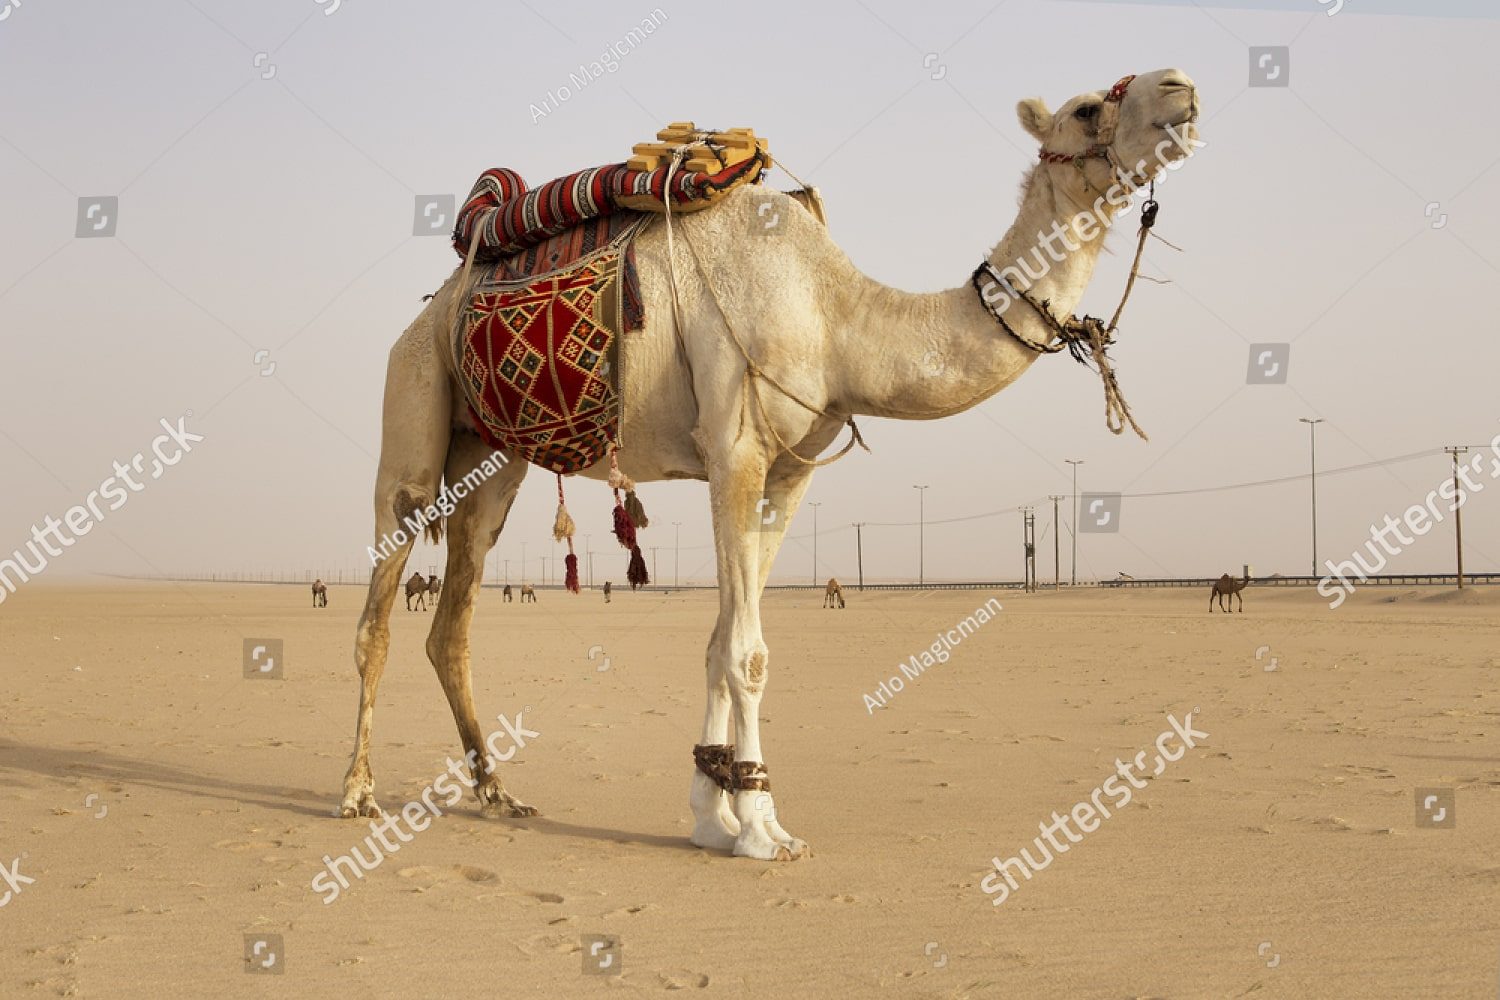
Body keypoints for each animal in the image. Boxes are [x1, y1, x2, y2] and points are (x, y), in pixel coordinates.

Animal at [339, 69, 1201, 861]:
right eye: (1087, 108)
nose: (1182, 87)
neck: (836, 318)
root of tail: (434, 303)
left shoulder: (790, 470)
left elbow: (721, 642)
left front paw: (712, 811)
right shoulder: (736, 450)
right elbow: (747, 653)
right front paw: (759, 826)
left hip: (496, 459)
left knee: (453, 621)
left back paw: (498, 793)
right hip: (413, 396)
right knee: (381, 600)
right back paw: (357, 793)